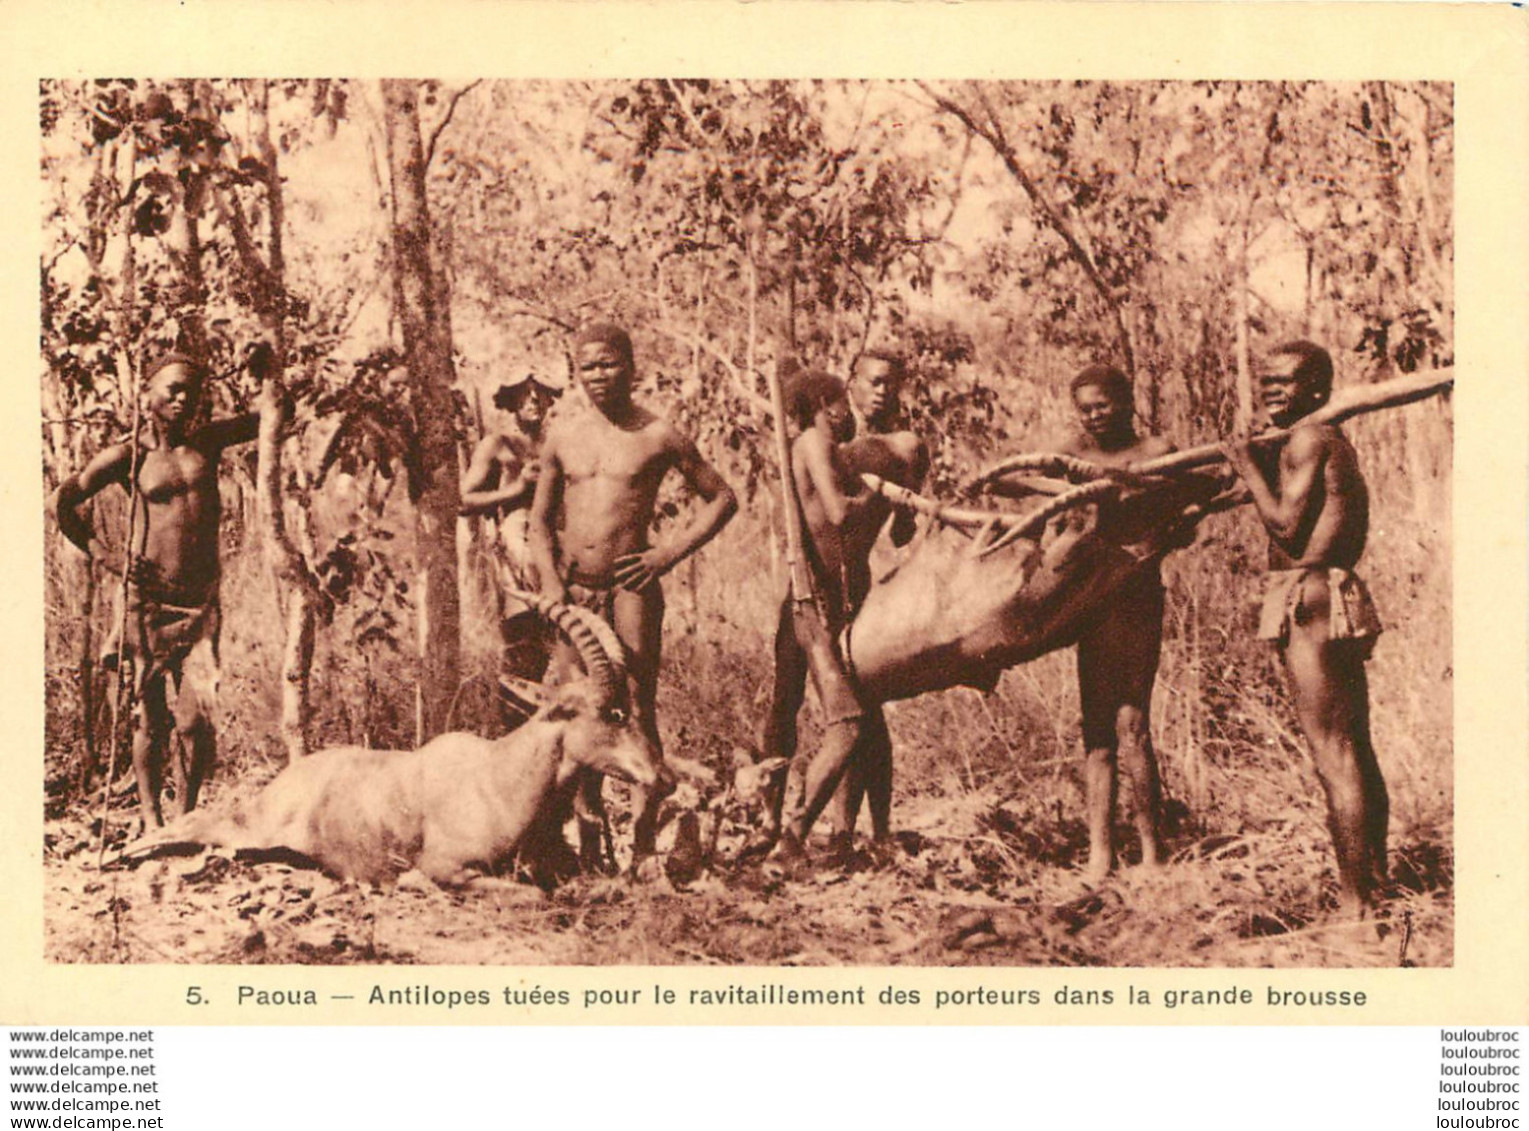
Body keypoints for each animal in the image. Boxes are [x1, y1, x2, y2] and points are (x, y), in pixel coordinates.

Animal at [120, 586, 663, 886]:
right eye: (612, 711)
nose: (661, 777)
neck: (499, 776)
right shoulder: (447, 868)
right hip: (248, 823)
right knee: (193, 824)